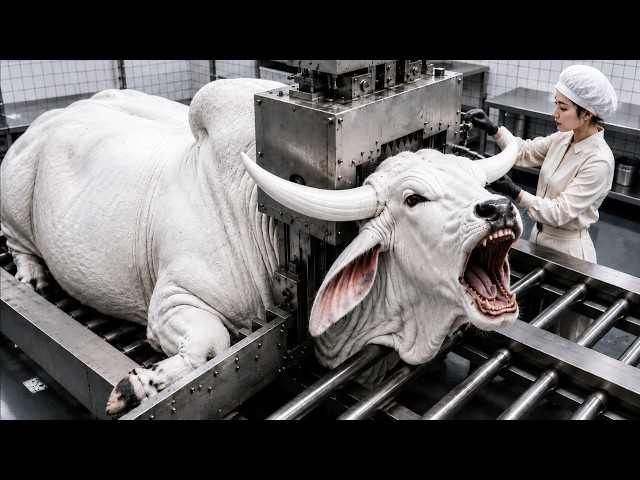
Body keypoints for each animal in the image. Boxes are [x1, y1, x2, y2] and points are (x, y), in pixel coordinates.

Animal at [0, 78, 522, 419]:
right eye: (414, 199)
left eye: (472, 178)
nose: (500, 208)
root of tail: (52, 115)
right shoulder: (172, 300)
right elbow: (213, 343)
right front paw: (136, 386)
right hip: (14, 205)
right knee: (18, 243)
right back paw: (31, 277)